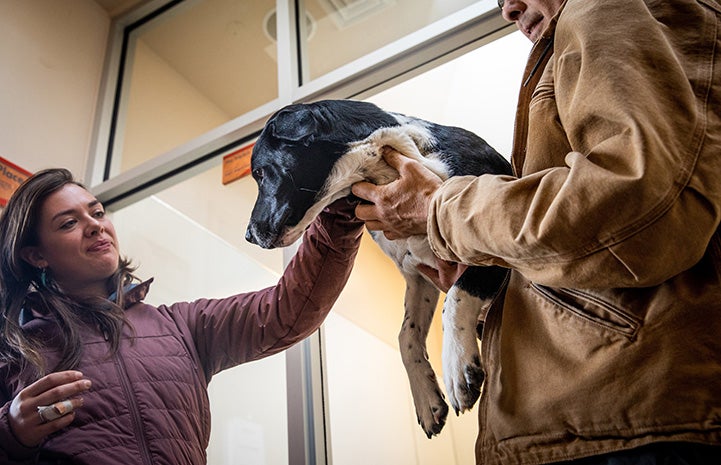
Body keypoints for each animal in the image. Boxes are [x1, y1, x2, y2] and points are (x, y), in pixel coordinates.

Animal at [245, 99, 510, 436]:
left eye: (259, 172)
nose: (248, 235)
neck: (384, 167)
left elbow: (457, 296)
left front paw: (456, 365)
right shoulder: (417, 276)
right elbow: (406, 336)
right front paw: (426, 399)